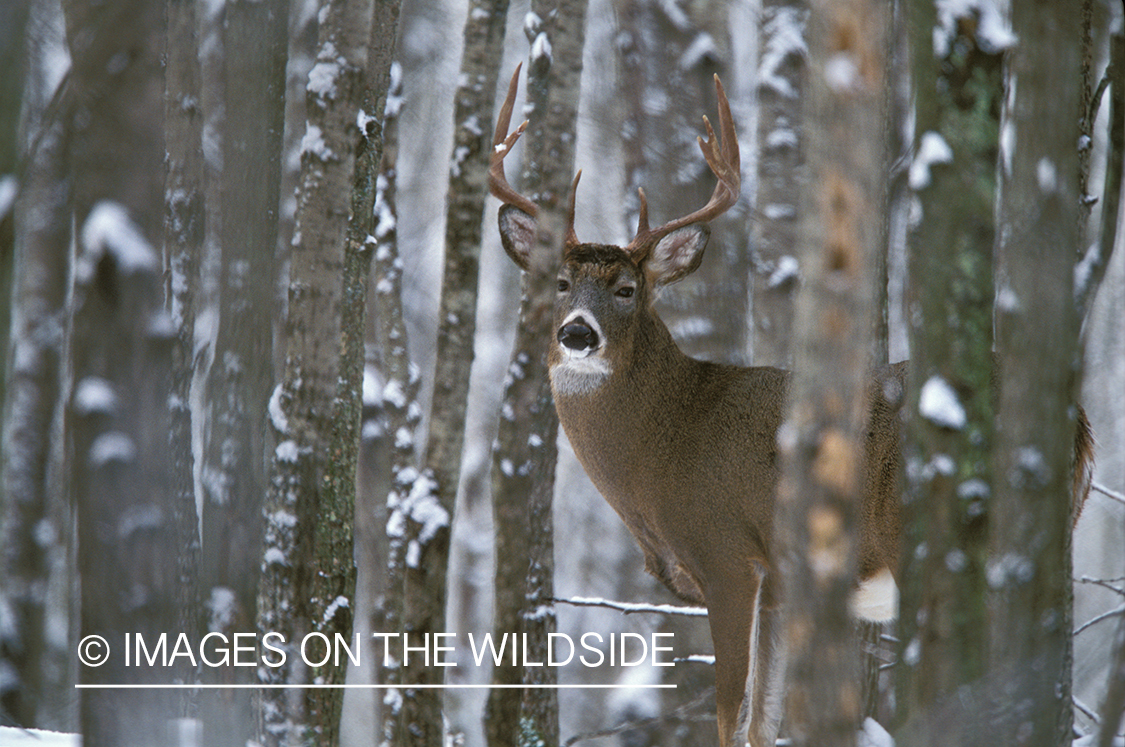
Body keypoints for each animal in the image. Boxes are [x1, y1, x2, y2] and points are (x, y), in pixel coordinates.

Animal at [488, 70, 1093, 747]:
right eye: (561, 283)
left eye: (626, 289)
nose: (576, 334)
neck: (663, 447)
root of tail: (1076, 421)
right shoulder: (777, 583)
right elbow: (762, 721)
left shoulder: (728, 556)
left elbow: (730, 715)